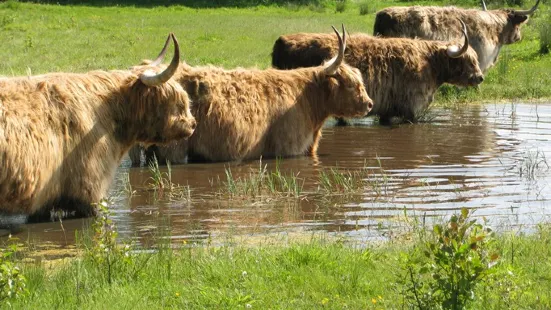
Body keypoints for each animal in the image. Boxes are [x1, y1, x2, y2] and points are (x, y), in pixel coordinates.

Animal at [272, 21, 484, 124]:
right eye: (469, 61)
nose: (480, 77)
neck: (429, 63)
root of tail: (282, 40)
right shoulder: (412, 108)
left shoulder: (388, 110)